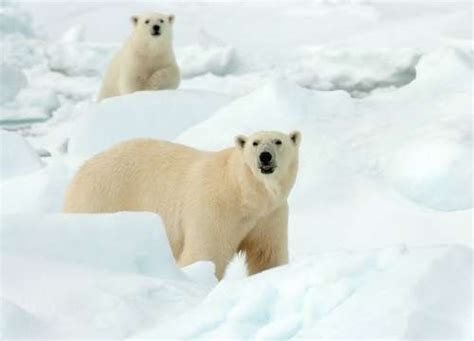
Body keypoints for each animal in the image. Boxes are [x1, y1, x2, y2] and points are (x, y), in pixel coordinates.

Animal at [63, 131, 302, 278]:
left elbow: (266, 255)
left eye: (278, 141)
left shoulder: (270, 215)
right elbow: (204, 253)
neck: (244, 192)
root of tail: (81, 171)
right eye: (255, 143)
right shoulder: (214, 209)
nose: (265, 156)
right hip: (102, 197)